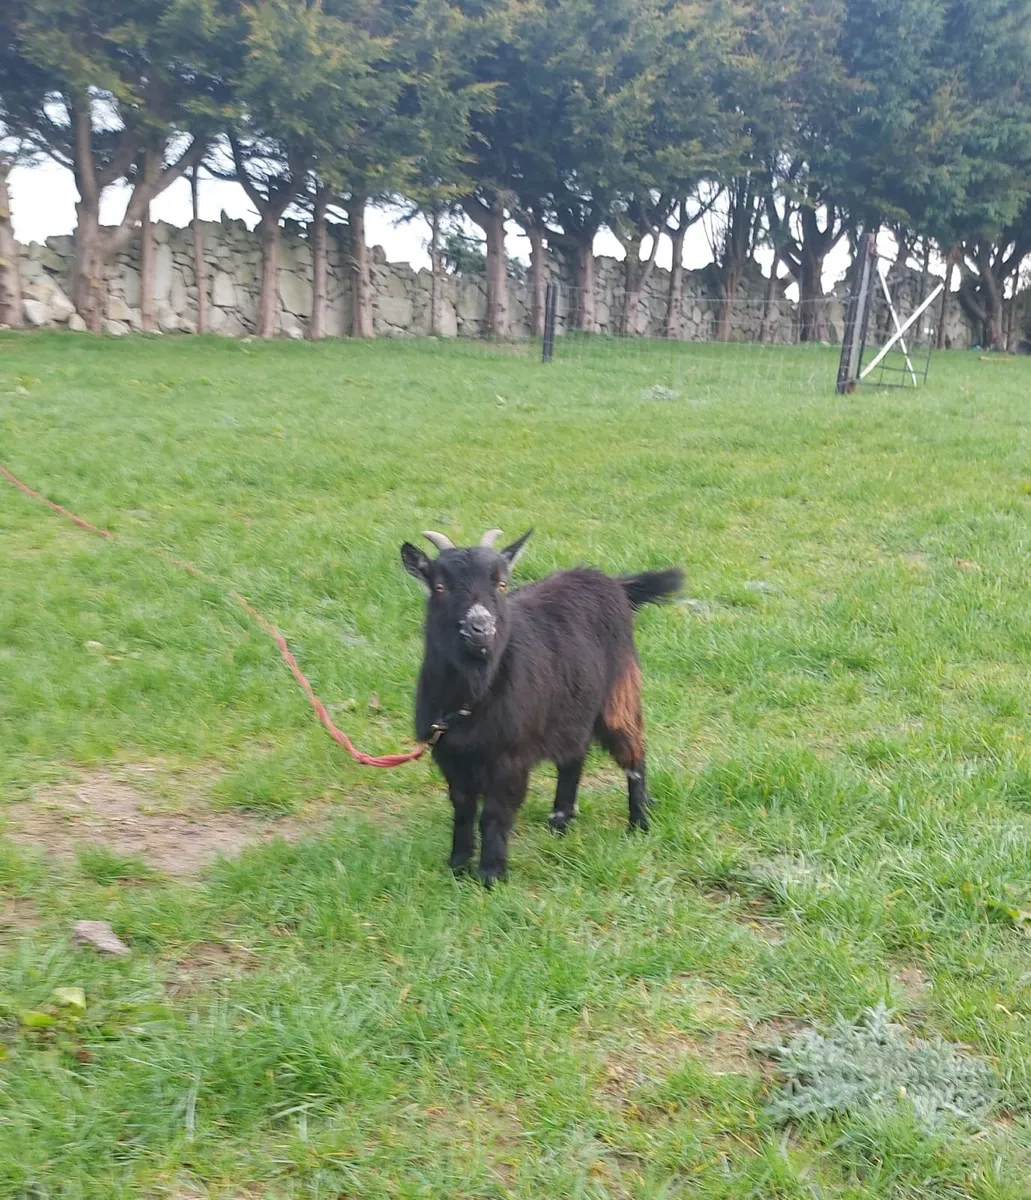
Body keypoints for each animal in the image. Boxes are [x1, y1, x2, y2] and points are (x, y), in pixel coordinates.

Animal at [401, 527, 682, 885]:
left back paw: (638, 824)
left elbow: (495, 813)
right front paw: (459, 866)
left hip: (619, 693)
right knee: (574, 756)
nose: (482, 629)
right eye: (440, 587)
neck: (473, 696)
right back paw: (560, 821)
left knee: (634, 753)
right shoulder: (449, 753)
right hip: (573, 706)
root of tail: (612, 583)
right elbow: (463, 809)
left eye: (501, 584)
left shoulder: (511, 757)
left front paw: (491, 875)